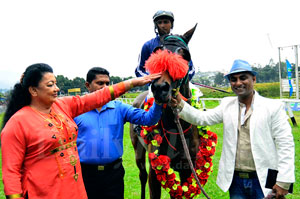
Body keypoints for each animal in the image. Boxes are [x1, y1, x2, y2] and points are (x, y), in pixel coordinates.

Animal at [129, 24, 206, 198]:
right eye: (158, 52)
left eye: (184, 55)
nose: (160, 88)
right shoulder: (155, 170)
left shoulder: (186, 169)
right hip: (138, 151)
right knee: (142, 175)